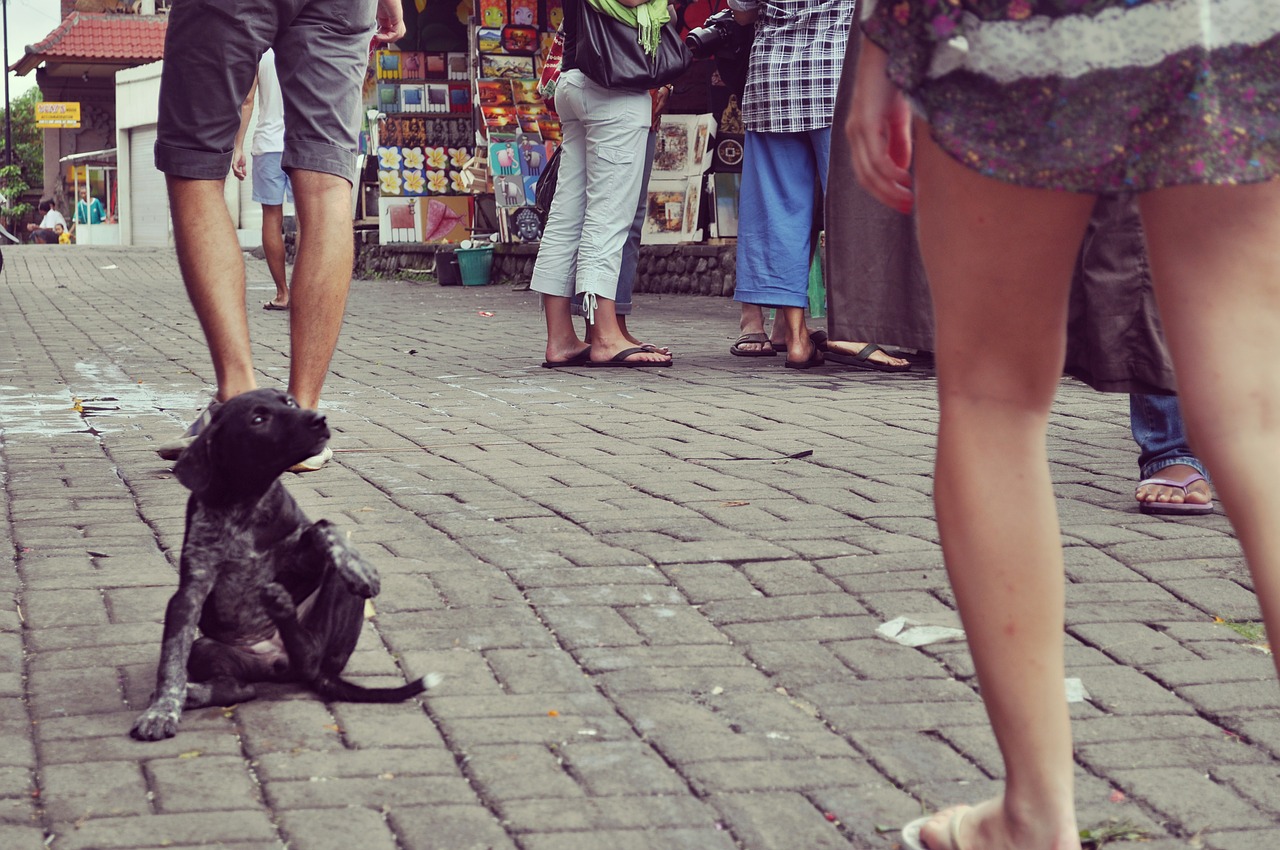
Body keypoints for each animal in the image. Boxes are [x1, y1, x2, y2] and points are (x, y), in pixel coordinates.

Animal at [133, 389, 427, 742]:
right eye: (258, 419)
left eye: (289, 402)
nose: (319, 419)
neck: (246, 501)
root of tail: (277, 661)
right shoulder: (190, 593)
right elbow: (171, 661)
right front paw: (163, 710)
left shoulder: (299, 563)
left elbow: (323, 526)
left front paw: (360, 568)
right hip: (206, 648)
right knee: (240, 688)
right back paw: (196, 691)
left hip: (332, 611)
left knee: (312, 654)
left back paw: (286, 606)